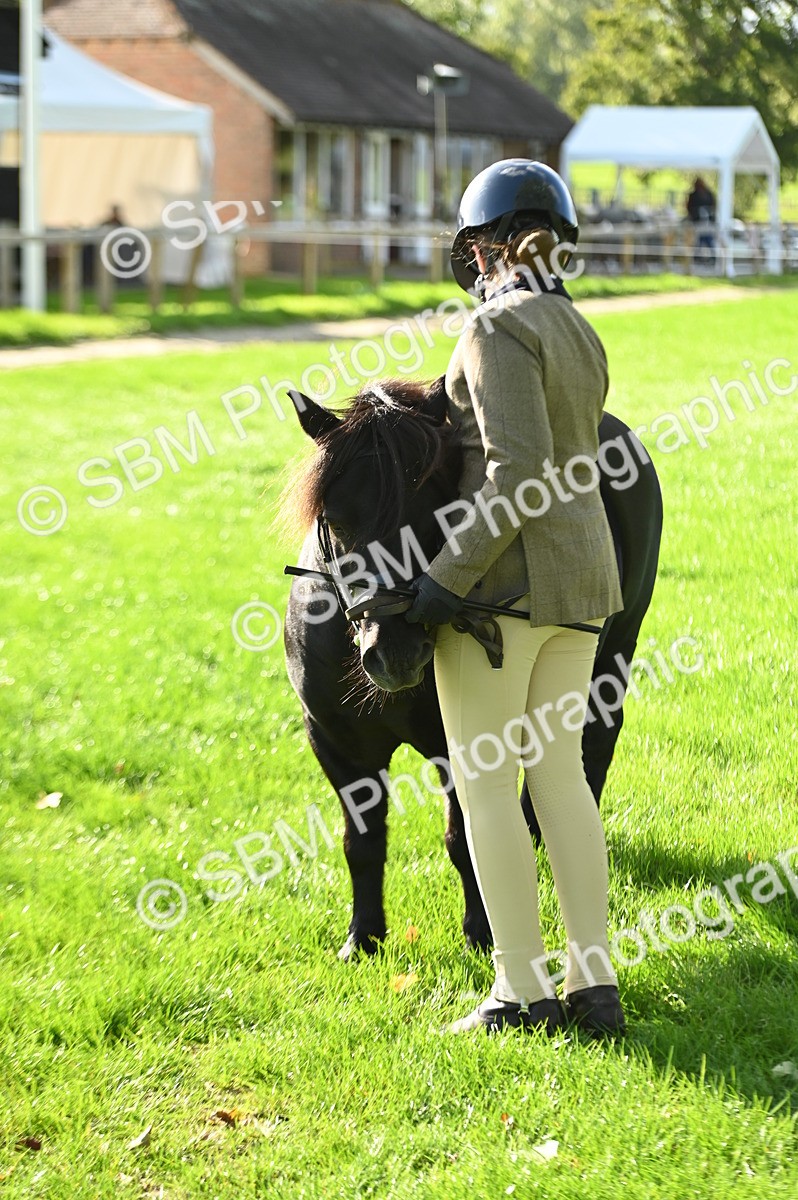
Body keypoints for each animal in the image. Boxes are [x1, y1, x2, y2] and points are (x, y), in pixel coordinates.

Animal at [282, 377, 663, 959]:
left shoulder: (460, 743)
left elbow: (467, 839)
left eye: (436, 514)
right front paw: (363, 938)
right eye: (335, 520)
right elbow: (361, 843)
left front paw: (482, 933)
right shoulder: (337, 745)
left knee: (593, 748)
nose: (395, 653)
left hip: (613, 655)